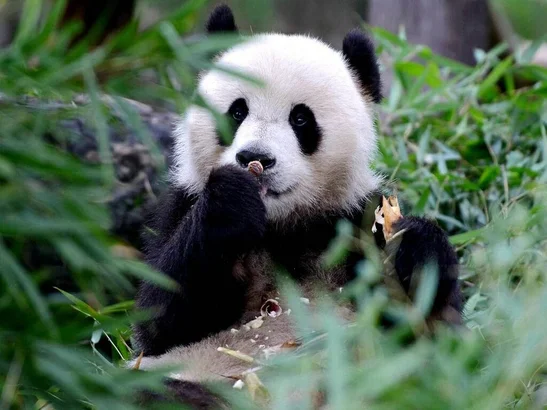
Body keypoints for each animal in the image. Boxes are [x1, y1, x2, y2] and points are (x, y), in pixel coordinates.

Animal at [131, 3, 464, 406]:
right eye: (237, 112)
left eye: (301, 118)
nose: (255, 158)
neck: (284, 226)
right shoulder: (182, 205)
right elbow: (161, 319)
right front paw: (230, 203)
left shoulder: (351, 220)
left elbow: (432, 326)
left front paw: (414, 245)